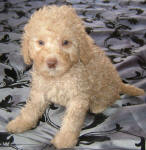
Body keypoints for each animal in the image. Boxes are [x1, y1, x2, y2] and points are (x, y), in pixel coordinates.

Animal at [6, 4, 145, 149]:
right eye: (40, 42)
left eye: (66, 42)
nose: (51, 63)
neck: (58, 77)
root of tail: (119, 83)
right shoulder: (39, 92)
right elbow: (30, 109)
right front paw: (20, 123)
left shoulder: (78, 98)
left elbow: (71, 121)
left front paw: (65, 139)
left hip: (105, 87)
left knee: (111, 97)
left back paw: (98, 106)